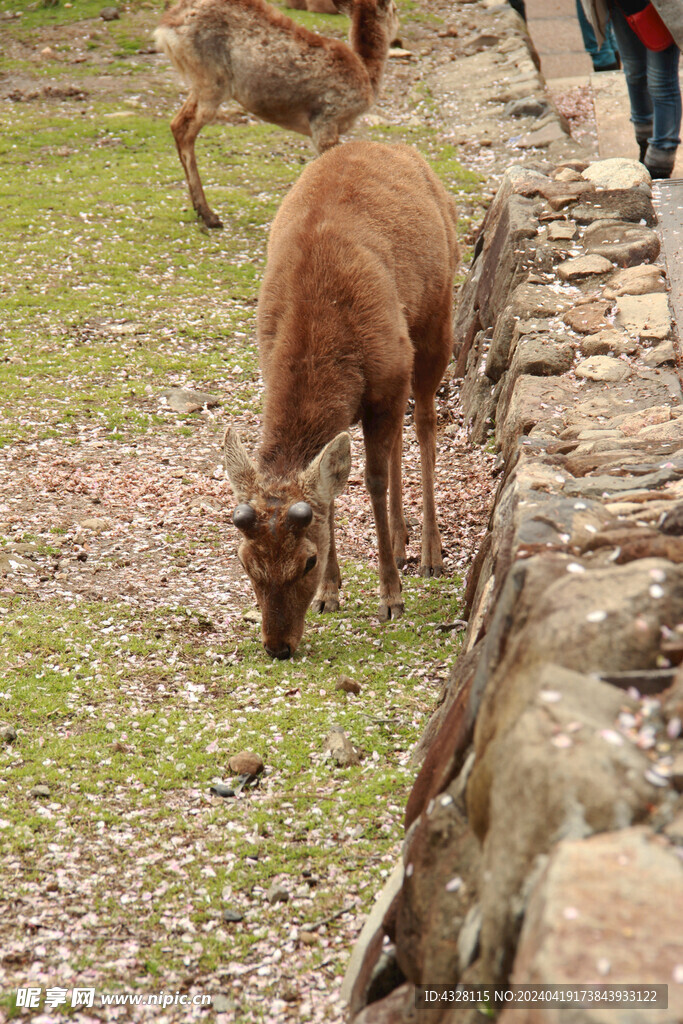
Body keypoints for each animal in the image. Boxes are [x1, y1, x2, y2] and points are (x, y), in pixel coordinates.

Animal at [153, 0, 401, 228]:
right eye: (395, 9)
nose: (397, 37)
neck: (367, 74)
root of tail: (165, 28)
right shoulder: (326, 117)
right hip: (211, 79)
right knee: (184, 128)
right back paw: (208, 214)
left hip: (202, 83)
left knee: (176, 124)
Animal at [224, 140, 458, 659]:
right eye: (247, 563)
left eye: (307, 562)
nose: (278, 646)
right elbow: (331, 492)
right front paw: (331, 595)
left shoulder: (389, 372)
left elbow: (371, 480)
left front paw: (391, 597)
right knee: (398, 441)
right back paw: (402, 540)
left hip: (437, 320)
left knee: (424, 425)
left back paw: (429, 553)